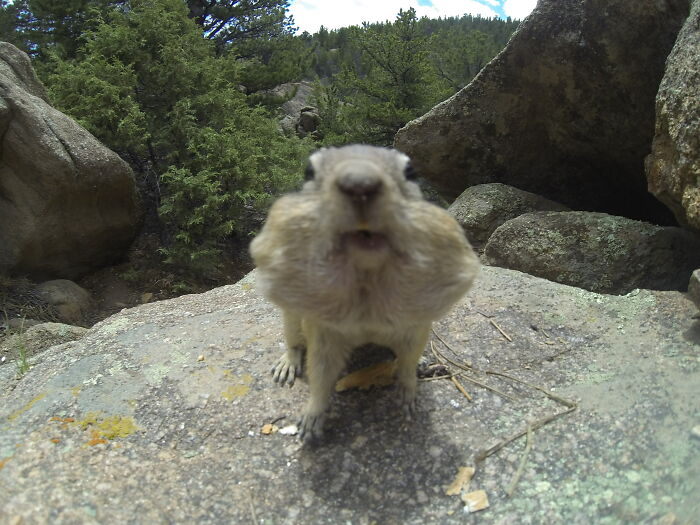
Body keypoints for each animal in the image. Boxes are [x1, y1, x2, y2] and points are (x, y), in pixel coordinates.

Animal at [250, 144, 479, 441]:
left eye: (411, 171)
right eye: (308, 171)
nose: (359, 185)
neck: (366, 288)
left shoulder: (416, 327)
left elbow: (407, 363)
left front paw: (409, 396)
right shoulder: (322, 334)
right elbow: (320, 374)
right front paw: (310, 419)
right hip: (292, 317)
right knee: (293, 342)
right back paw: (286, 365)